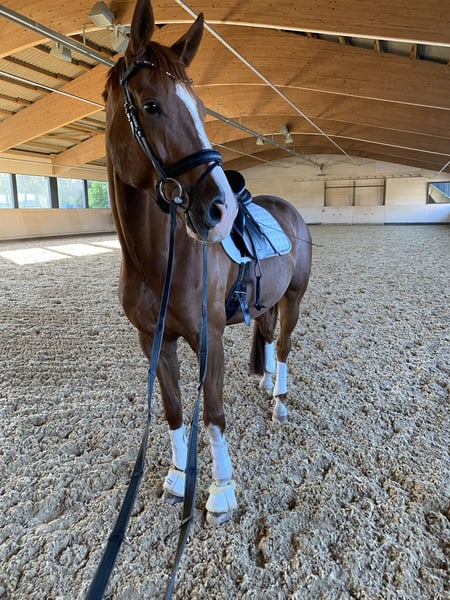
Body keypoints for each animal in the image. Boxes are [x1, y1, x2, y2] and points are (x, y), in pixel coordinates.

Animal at [103, 0, 312, 526]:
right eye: (151, 105)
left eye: (200, 109)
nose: (221, 211)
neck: (156, 262)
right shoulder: (154, 340)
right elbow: (176, 410)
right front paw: (179, 478)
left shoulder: (208, 336)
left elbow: (213, 412)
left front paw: (220, 492)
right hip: (266, 301)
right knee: (268, 335)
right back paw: (266, 385)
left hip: (295, 299)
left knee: (283, 345)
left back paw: (279, 402)